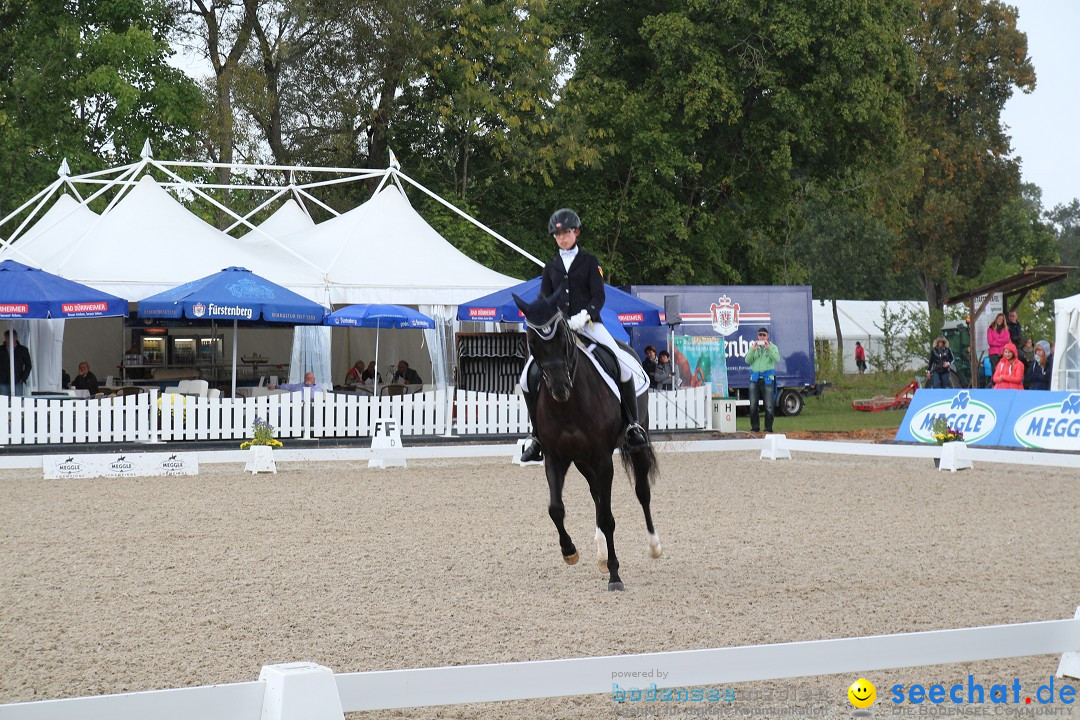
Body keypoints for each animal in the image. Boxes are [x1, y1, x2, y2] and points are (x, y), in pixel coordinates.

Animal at [511, 291, 656, 591]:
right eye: (532, 341)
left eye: (563, 337)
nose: (559, 389)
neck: (569, 407)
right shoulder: (556, 458)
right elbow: (556, 509)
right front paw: (569, 551)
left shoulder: (602, 458)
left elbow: (610, 518)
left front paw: (615, 575)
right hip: (581, 460)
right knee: (596, 495)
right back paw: (599, 553)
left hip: (634, 443)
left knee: (641, 491)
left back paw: (653, 546)